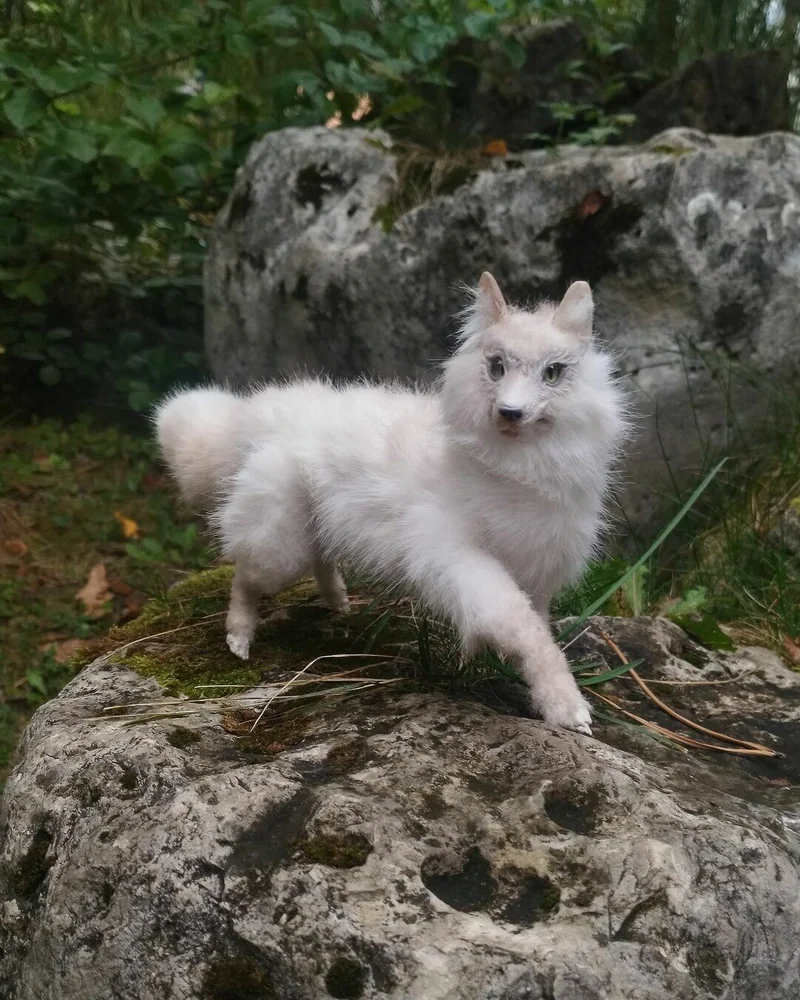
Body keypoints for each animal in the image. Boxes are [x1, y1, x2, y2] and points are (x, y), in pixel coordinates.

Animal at [155, 273, 628, 734]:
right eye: (496, 367)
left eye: (553, 373)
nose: (509, 412)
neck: (517, 469)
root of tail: (252, 416)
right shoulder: (463, 563)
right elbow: (526, 631)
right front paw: (567, 707)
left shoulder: (538, 573)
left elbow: (535, 627)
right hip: (279, 543)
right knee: (246, 578)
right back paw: (239, 638)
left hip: (315, 523)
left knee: (318, 559)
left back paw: (338, 602)